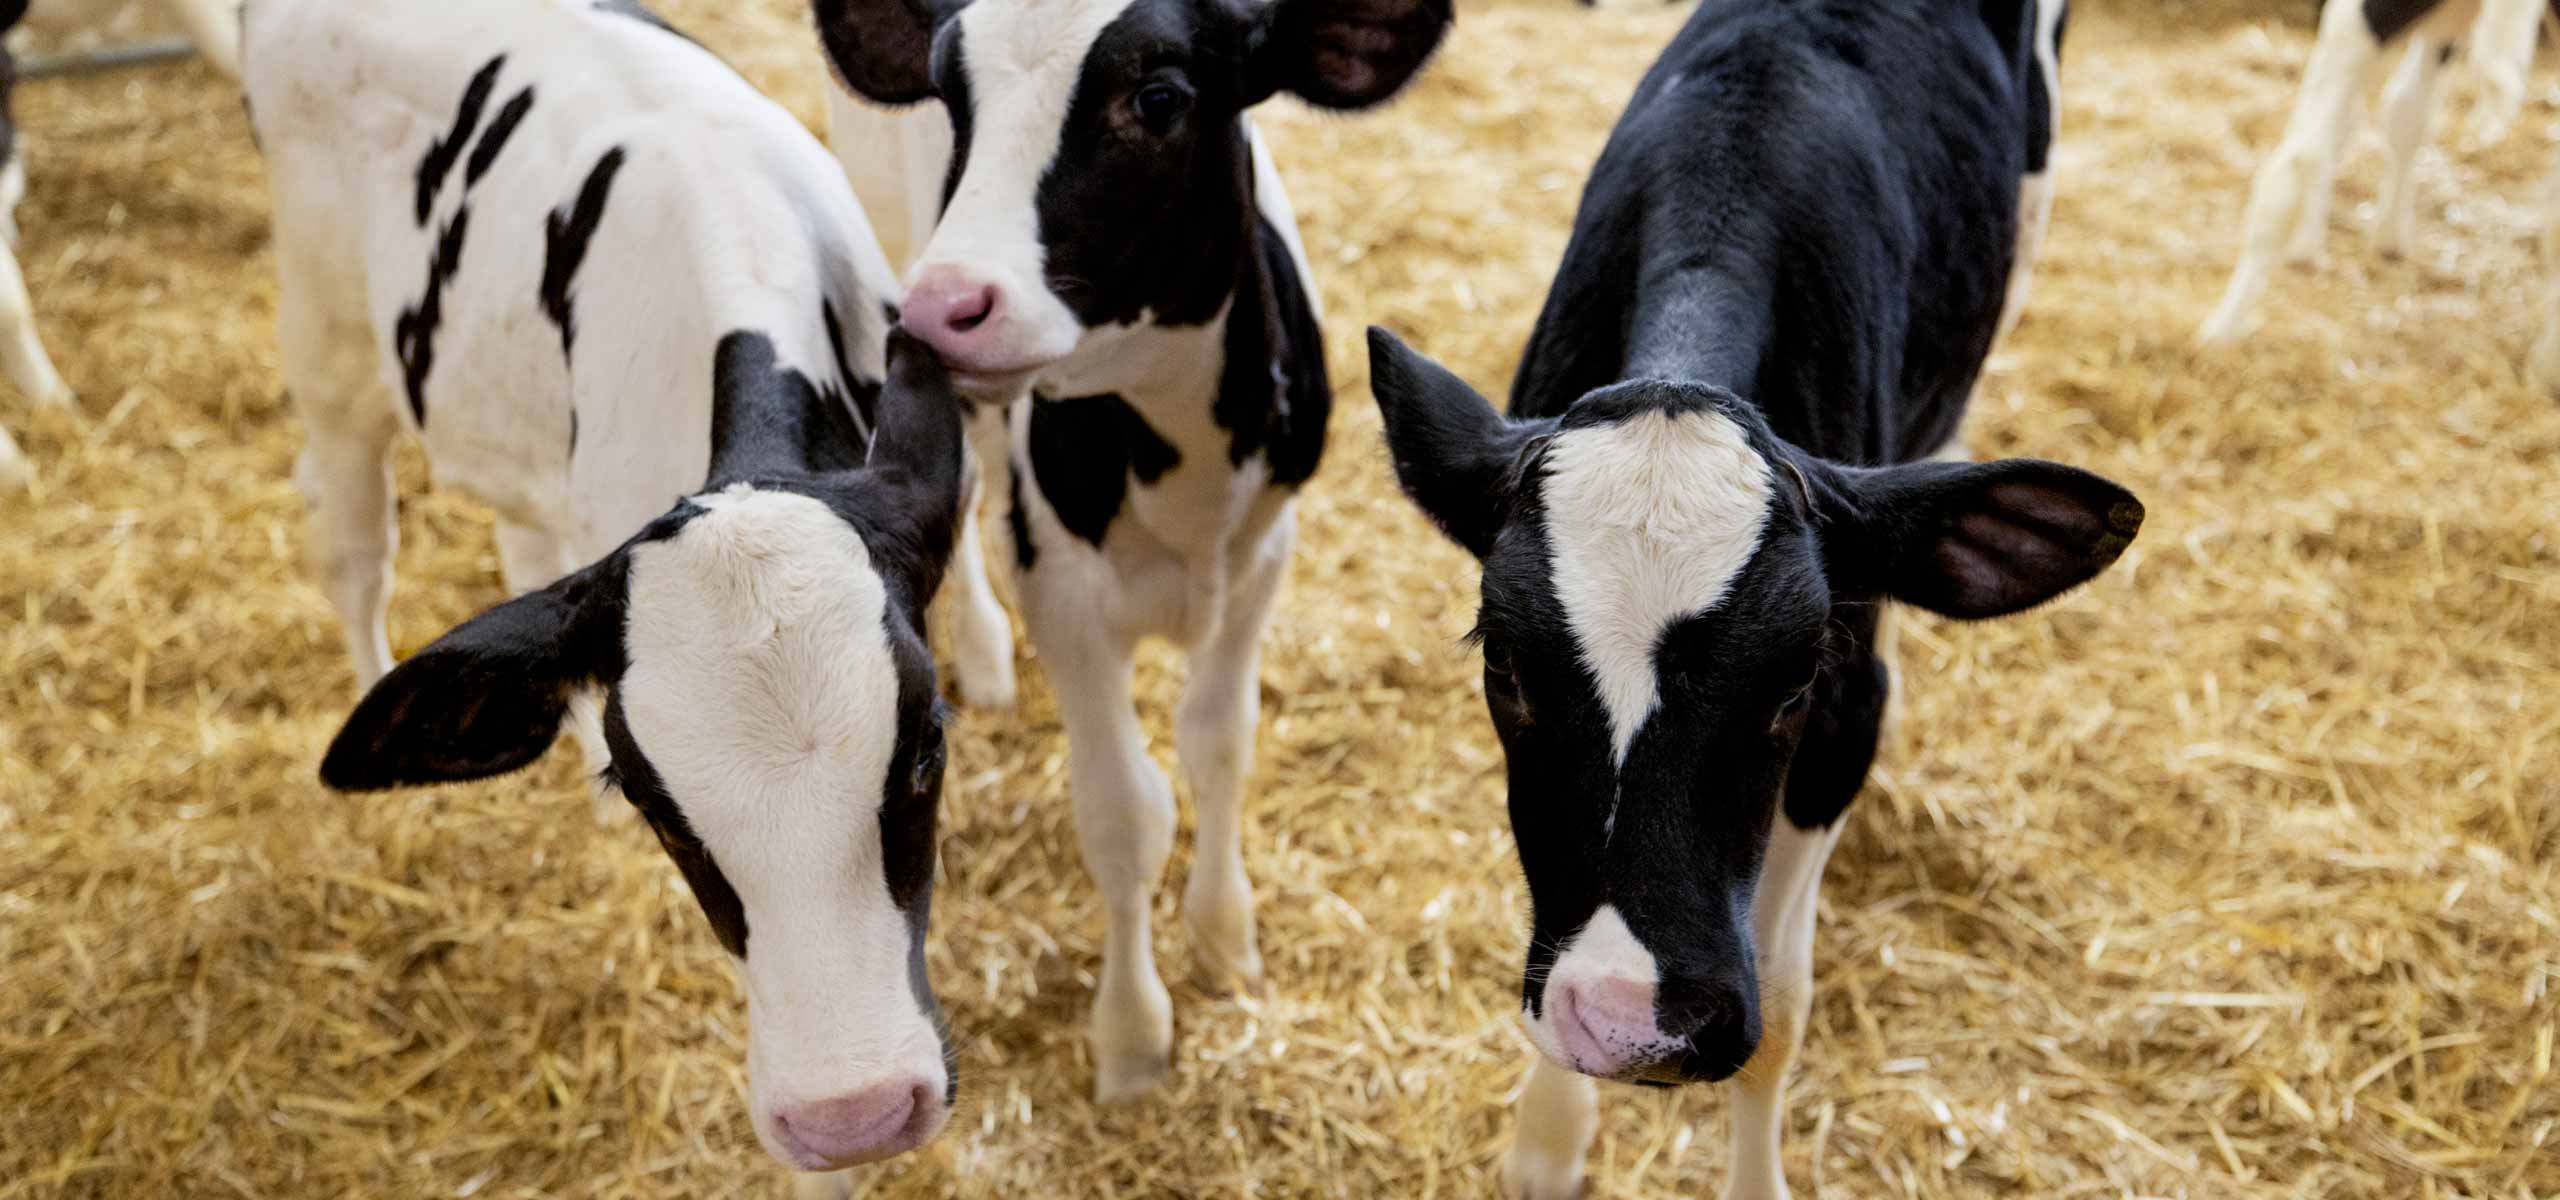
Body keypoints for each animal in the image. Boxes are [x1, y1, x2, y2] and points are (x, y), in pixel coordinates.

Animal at [811, 0, 1453, 1102]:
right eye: (950, 91)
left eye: (1157, 99)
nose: (945, 308)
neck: (1182, 467)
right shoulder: (1063, 594)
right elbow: (1123, 813)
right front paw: (1132, 1036)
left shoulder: (1262, 556)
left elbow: (1219, 743)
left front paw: (1225, 936)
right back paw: (981, 652)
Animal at [1361, 1, 2136, 1196]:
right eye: (1505, 668)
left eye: (1796, 682)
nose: (1632, 1022)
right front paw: (1547, 1146)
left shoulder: (1844, 726)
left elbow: (1782, 1011)